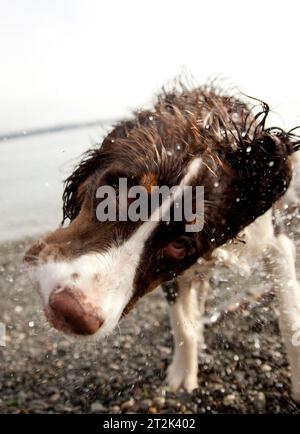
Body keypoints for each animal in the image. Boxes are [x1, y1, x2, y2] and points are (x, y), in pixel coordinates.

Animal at [24, 84, 300, 404]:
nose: (71, 312)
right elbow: (183, 326)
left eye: (179, 244)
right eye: (119, 193)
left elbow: (290, 320)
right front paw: (183, 375)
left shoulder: (276, 243)